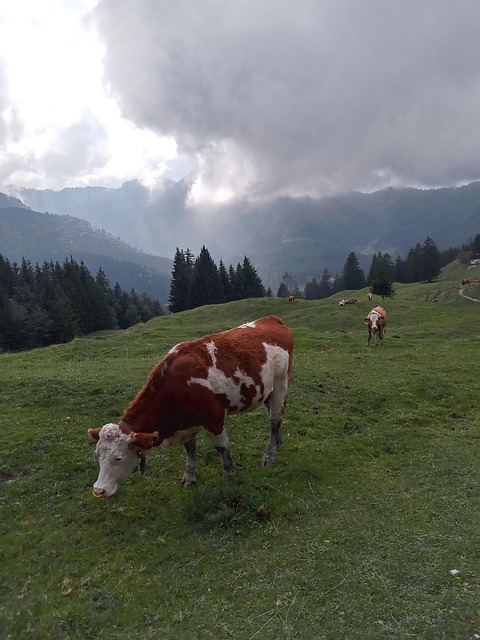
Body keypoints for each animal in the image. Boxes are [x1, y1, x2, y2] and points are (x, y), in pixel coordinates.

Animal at [87, 315, 294, 498]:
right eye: (97, 454)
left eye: (118, 458)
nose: (98, 490)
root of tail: (270, 319)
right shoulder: (187, 424)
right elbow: (190, 449)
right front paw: (190, 477)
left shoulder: (214, 418)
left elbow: (222, 448)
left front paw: (230, 474)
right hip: (268, 391)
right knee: (278, 415)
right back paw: (278, 442)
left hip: (281, 384)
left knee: (274, 421)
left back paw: (269, 456)